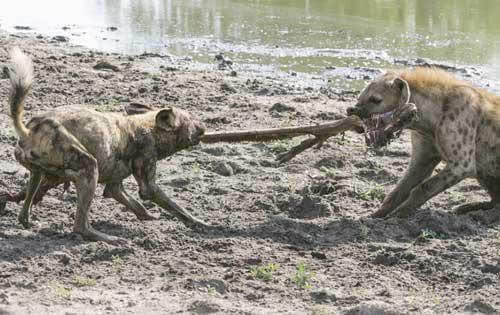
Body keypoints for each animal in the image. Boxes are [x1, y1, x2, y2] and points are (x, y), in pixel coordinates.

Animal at [4, 47, 207, 244]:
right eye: (191, 119)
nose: (203, 125)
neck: (149, 129)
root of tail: (30, 131)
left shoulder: (115, 187)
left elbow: (138, 206)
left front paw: (150, 217)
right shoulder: (148, 184)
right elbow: (177, 207)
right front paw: (201, 223)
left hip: (40, 175)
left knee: (24, 205)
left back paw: (25, 218)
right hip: (88, 168)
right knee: (80, 225)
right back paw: (107, 238)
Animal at [348, 67, 500, 218]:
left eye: (375, 99)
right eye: (359, 97)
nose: (351, 110)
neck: (429, 123)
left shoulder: (462, 164)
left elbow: (423, 187)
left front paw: (398, 213)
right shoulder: (423, 157)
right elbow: (401, 188)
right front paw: (377, 215)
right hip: (485, 172)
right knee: (495, 200)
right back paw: (468, 207)